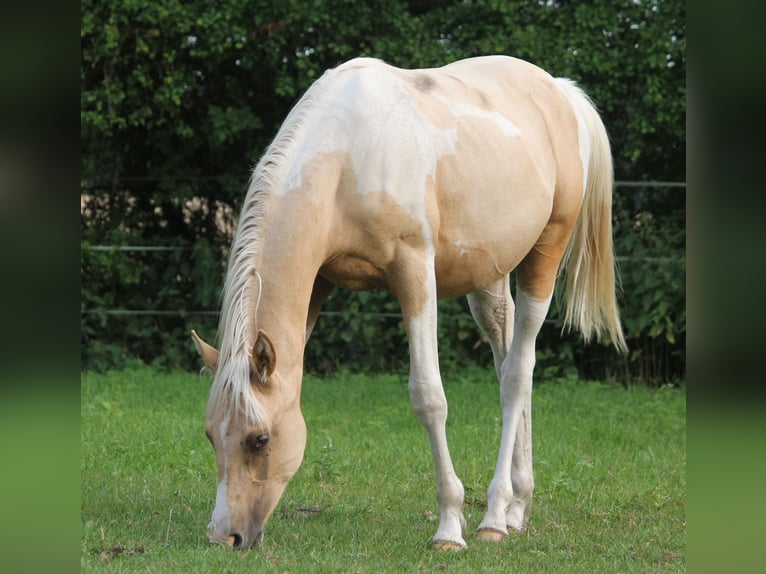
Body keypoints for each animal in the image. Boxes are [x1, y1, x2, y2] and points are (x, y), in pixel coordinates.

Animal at [194, 55, 632, 552]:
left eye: (261, 440)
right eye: (211, 435)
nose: (225, 536)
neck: (347, 159)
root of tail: (560, 92)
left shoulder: (415, 274)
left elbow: (428, 397)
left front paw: (449, 526)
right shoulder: (319, 282)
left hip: (545, 255)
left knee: (517, 376)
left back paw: (494, 518)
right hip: (490, 276)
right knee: (508, 360)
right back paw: (517, 506)